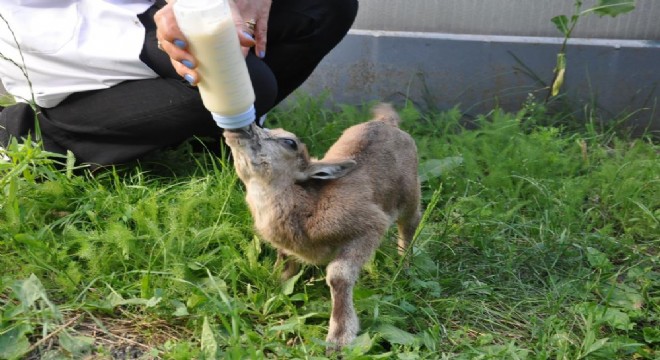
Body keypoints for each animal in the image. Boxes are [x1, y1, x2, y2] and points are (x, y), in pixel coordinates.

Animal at [224, 102, 420, 350]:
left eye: (290, 142)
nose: (240, 129)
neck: (308, 204)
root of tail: (386, 122)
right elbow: (283, 266)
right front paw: (275, 289)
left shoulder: (370, 225)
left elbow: (338, 276)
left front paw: (339, 338)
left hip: (410, 193)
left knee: (410, 223)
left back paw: (404, 267)